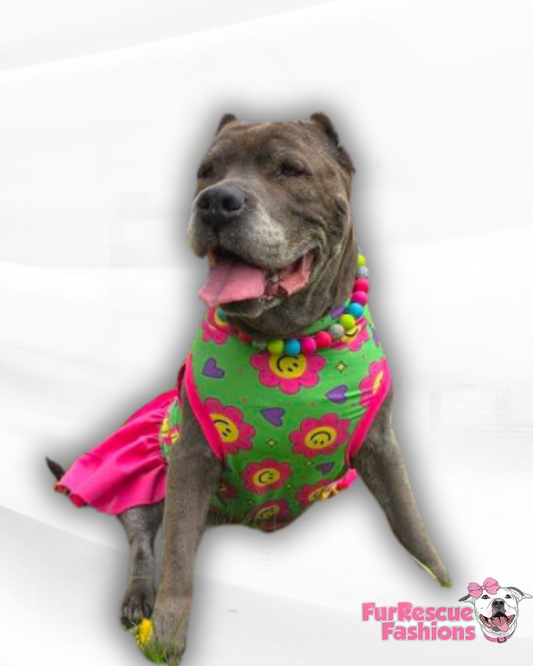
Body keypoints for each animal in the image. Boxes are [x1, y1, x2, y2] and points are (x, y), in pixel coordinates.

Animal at [47, 113, 451, 664]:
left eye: (290, 169)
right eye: (206, 171)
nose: (217, 201)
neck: (288, 346)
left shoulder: (380, 443)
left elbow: (409, 519)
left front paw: (443, 584)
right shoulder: (191, 458)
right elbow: (176, 561)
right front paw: (167, 638)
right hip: (147, 476)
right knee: (141, 540)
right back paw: (137, 599)